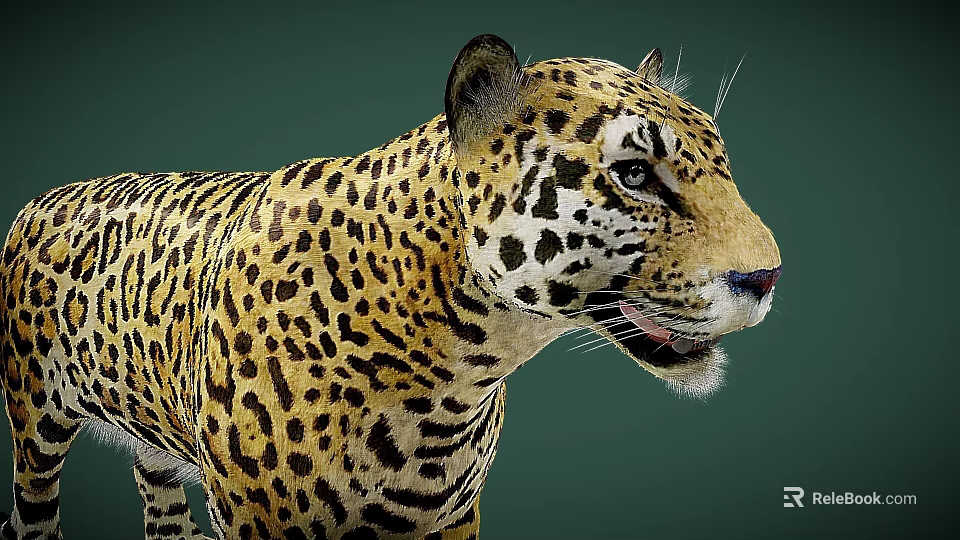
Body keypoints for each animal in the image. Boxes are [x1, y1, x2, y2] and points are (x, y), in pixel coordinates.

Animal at [0, 34, 780, 539]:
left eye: (723, 161)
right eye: (635, 174)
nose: (768, 276)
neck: (459, 365)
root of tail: (43, 197)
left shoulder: (450, 517)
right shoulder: (260, 522)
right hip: (34, 425)